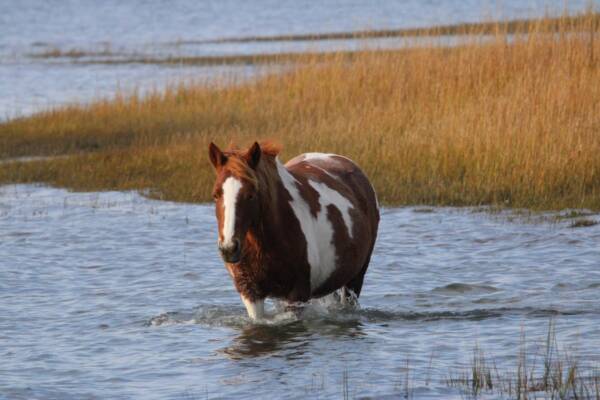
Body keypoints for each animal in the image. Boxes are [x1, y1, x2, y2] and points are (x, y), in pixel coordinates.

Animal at [209, 142, 380, 320]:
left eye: (250, 195)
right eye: (216, 195)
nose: (229, 248)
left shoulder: (297, 293)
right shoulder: (251, 292)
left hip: (355, 279)